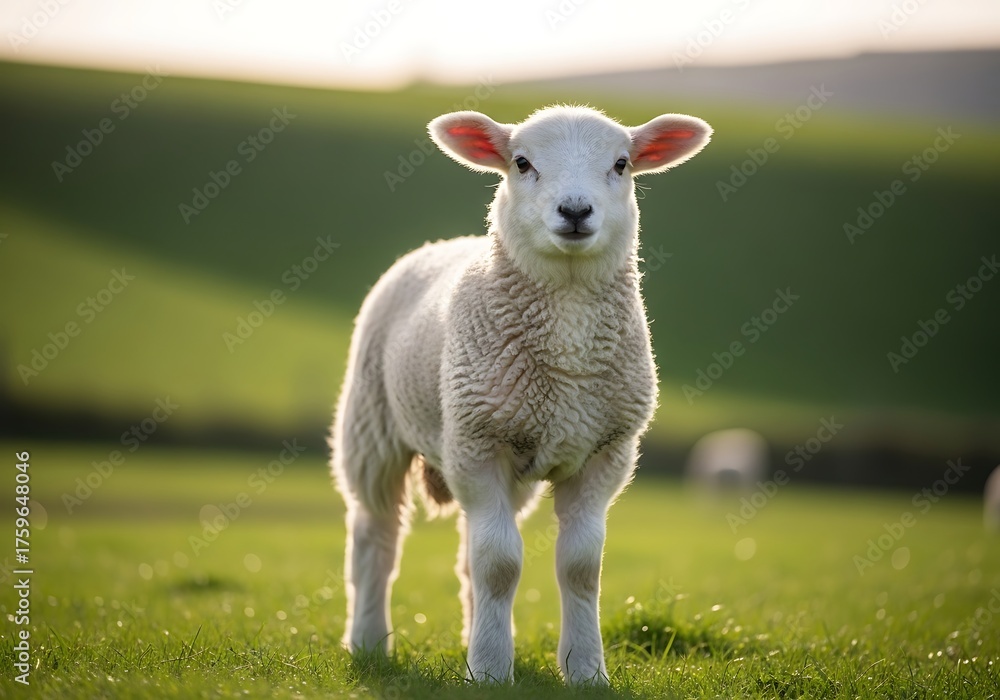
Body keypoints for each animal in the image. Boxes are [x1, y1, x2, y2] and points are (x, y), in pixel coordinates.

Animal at [330, 105, 712, 684]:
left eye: (622, 163)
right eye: (522, 162)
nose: (575, 210)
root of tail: (440, 244)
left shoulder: (605, 451)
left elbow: (579, 567)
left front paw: (585, 671)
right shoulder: (476, 441)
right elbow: (500, 564)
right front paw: (490, 670)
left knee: (466, 553)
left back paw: (469, 636)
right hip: (373, 428)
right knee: (376, 539)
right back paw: (369, 643)